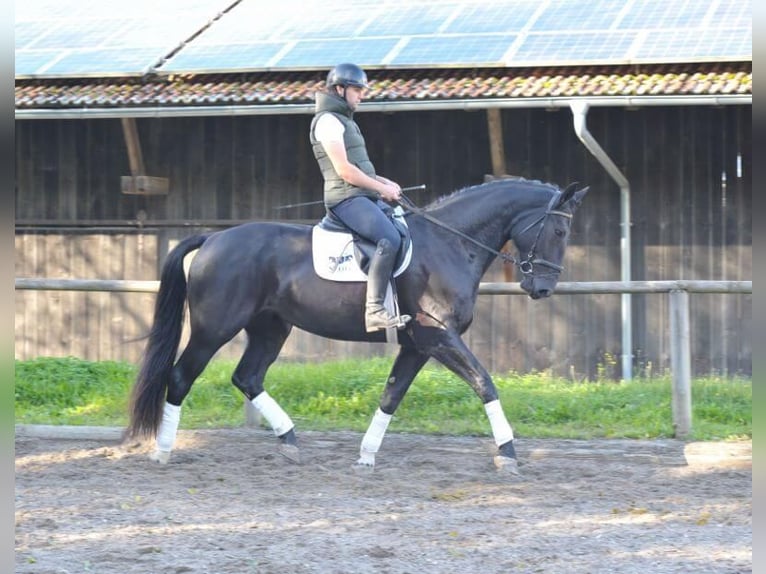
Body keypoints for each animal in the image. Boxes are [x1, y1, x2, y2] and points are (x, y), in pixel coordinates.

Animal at [129, 179, 592, 472]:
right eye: (559, 229)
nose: (543, 288)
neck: (451, 243)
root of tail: (212, 238)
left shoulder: (417, 345)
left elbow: (391, 396)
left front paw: (367, 455)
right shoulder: (437, 336)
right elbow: (485, 383)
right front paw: (508, 452)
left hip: (271, 328)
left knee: (247, 377)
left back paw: (291, 441)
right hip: (214, 328)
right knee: (181, 376)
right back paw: (163, 452)